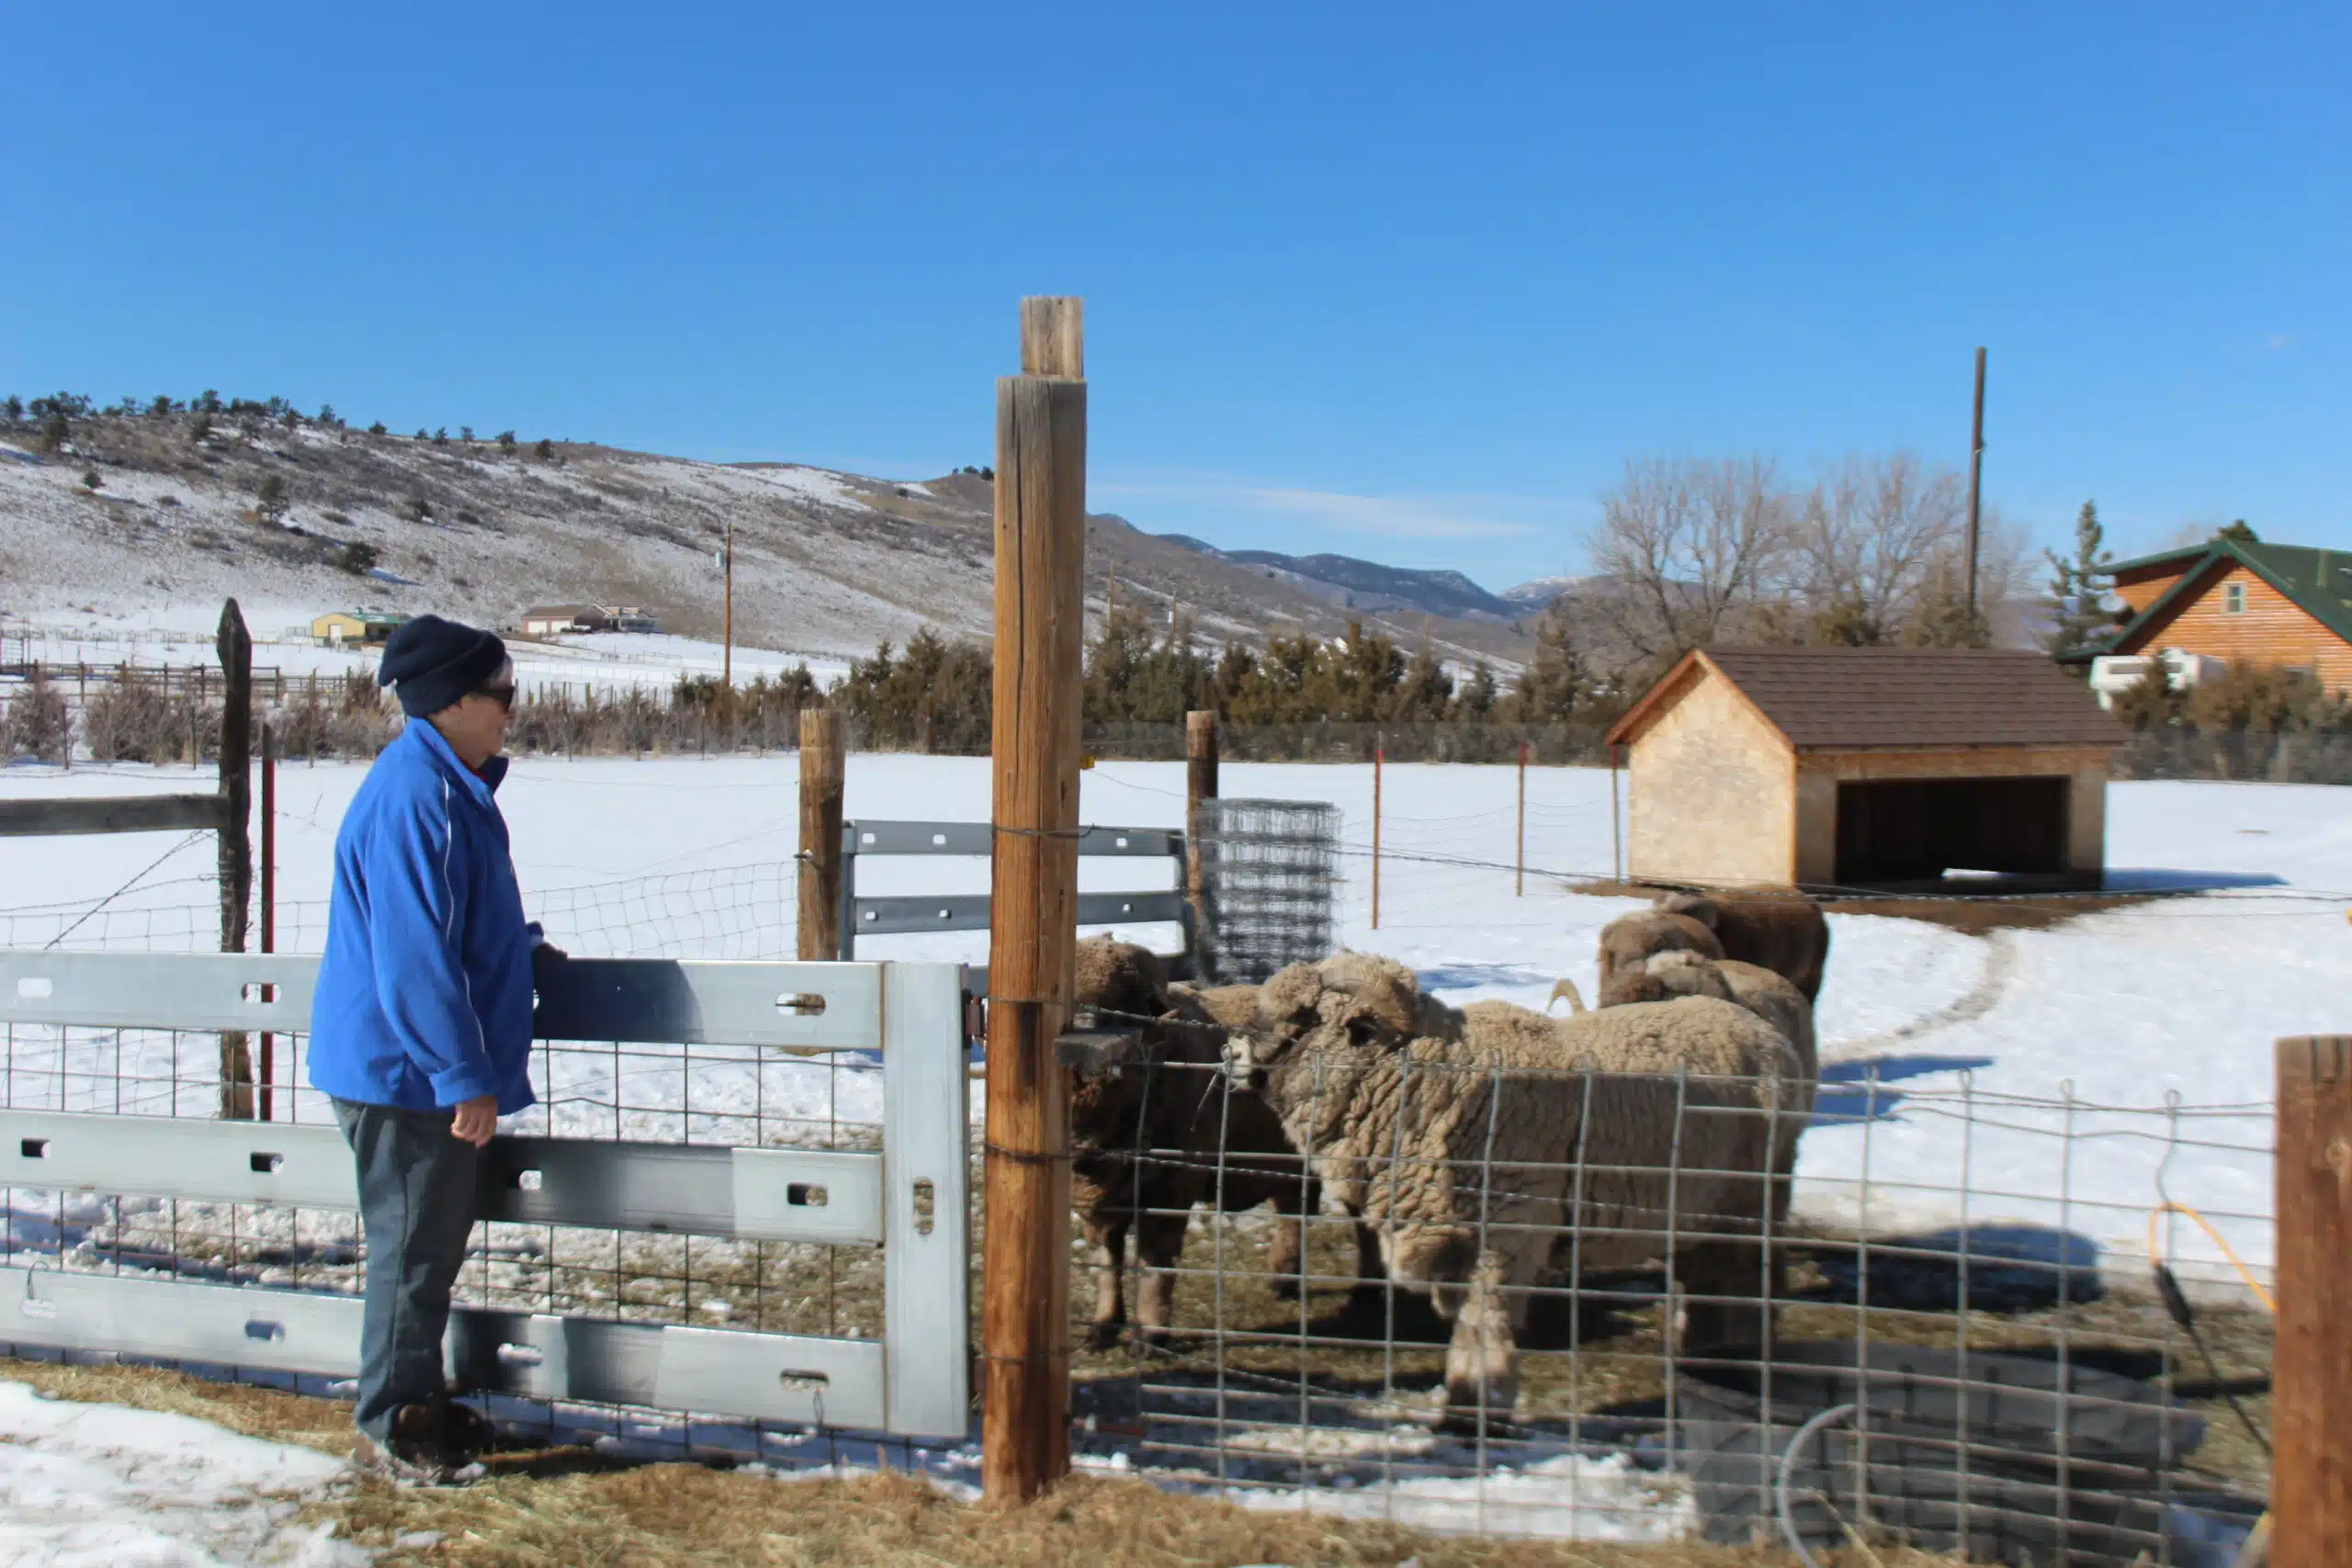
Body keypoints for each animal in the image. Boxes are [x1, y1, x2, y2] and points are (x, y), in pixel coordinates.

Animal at [1067, 939, 1376, 1348]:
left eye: (1121, 1005)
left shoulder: (1171, 1190)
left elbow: (1155, 1262)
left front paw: (1150, 1333)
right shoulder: (1100, 1193)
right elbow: (1107, 1257)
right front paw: (1104, 1324)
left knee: (1364, 1223)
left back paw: (1368, 1291)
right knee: (1292, 1211)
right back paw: (1284, 1278)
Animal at [1224, 952, 1803, 1427]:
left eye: (1305, 1018)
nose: (1230, 1054)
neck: (1435, 1081)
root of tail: (1765, 1033)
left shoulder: (1505, 1238)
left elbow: (1486, 1326)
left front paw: (1480, 1408)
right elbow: (1466, 1326)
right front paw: (1462, 1402)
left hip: (1753, 1204)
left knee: (1746, 1288)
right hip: (1701, 1212)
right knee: (1709, 1285)